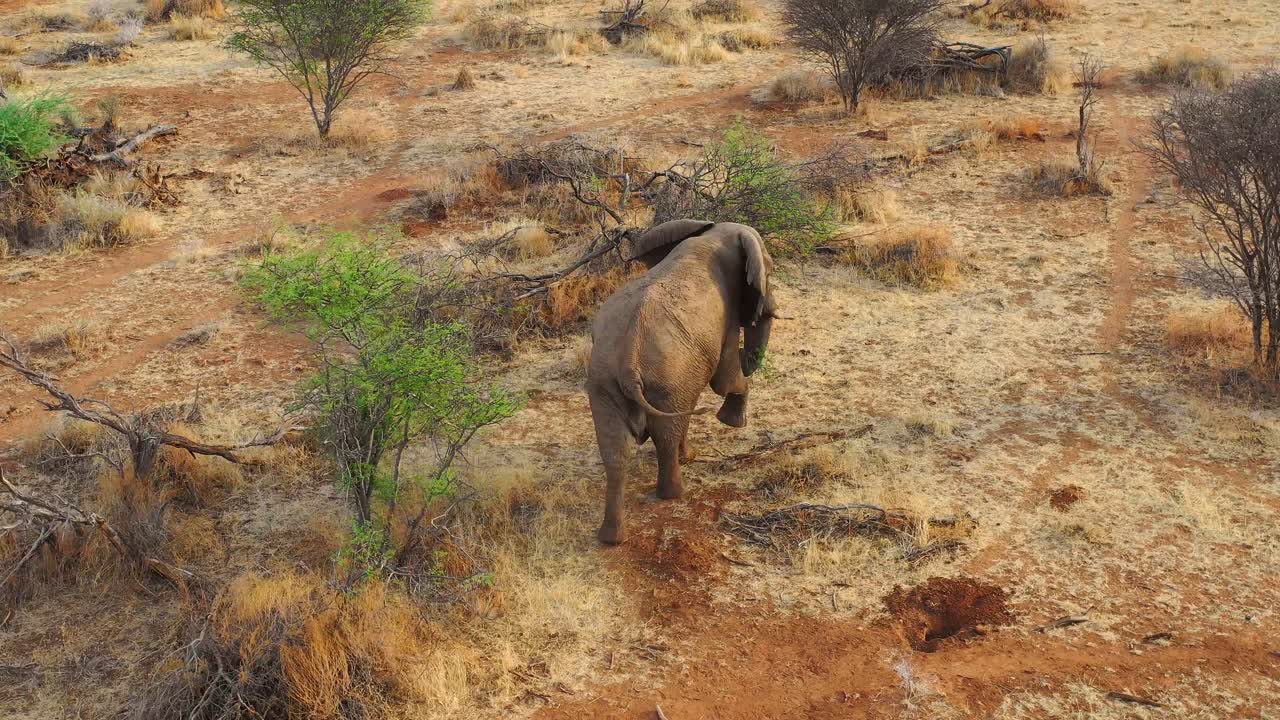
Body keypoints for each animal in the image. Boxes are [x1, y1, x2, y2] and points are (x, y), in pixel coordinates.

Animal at [586, 219, 780, 544]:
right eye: (771, 270)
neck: (712, 234)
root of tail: (628, 359)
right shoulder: (725, 321)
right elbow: (724, 379)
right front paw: (732, 422)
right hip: (663, 376)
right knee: (664, 434)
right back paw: (673, 493)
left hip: (605, 383)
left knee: (615, 450)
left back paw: (611, 538)